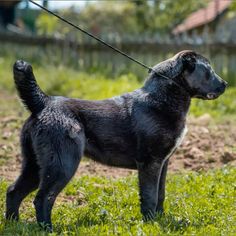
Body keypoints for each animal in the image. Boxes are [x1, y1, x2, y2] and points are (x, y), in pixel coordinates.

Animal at [5, 50, 227, 231]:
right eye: (209, 70)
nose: (225, 84)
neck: (162, 98)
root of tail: (43, 103)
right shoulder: (150, 163)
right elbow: (150, 196)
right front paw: (151, 224)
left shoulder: (163, 163)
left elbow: (161, 194)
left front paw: (160, 219)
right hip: (62, 164)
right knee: (42, 198)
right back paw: (48, 230)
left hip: (34, 165)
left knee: (13, 191)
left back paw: (13, 224)